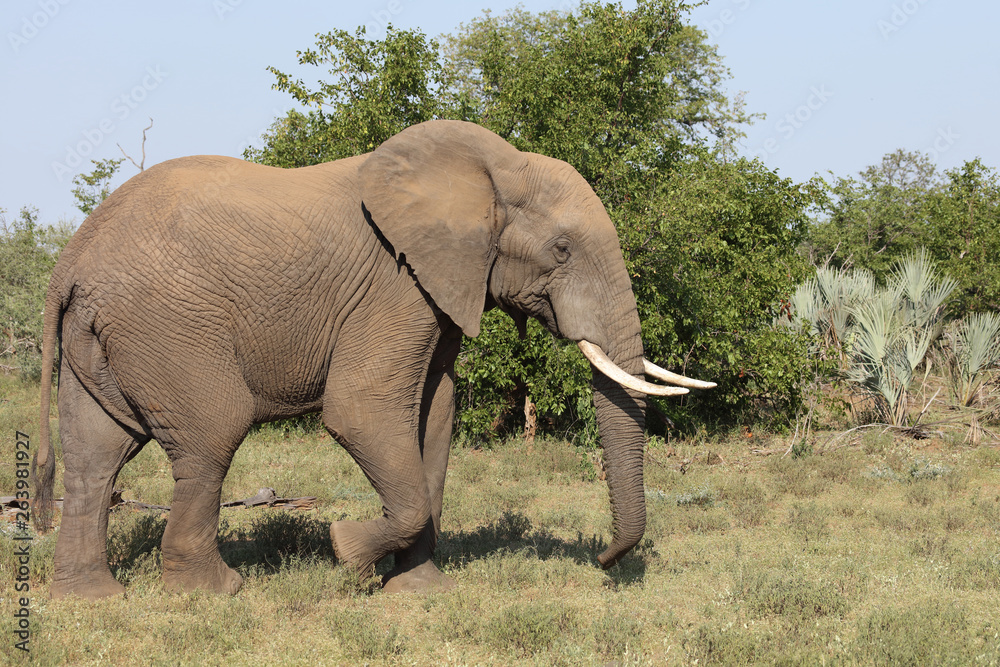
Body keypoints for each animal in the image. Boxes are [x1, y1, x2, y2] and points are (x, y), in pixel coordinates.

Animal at [33, 120, 714, 600]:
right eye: (563, 249)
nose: (603, 561)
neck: (492, 167)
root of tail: (70, 260)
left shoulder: (440, 288)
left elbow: (434, 416)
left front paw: (420, 590)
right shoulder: (394, 285)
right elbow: (359, 410)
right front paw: (346, 552)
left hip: (102, 338)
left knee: (96, 455)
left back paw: (91, 598)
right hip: (170, 326)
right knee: (210, 437)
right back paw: (214, 592)